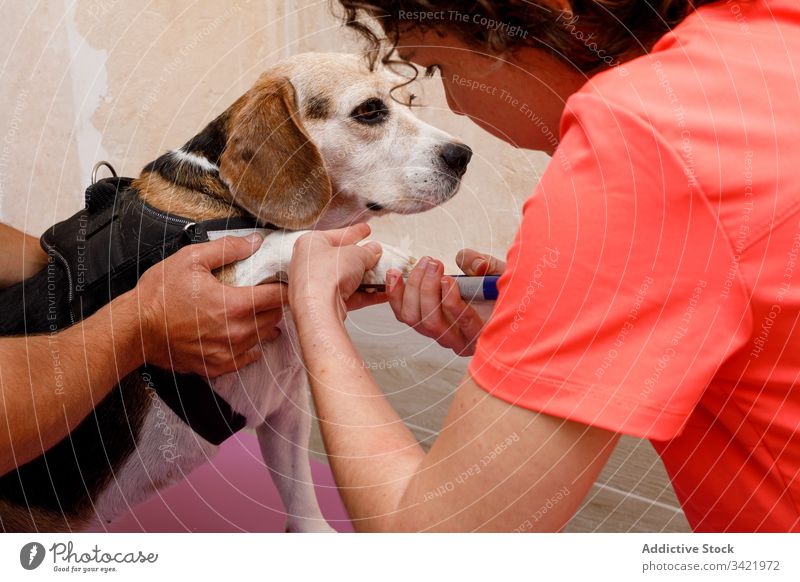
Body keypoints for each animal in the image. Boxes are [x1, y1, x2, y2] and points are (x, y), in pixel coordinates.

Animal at [0, 52, 472, 532]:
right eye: (370, 111)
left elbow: (301, 502)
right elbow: (291, 240)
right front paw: (379, 257)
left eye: (409, 101)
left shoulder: (285, 409)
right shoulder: (215, 283)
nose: (464, 155)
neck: (224, 202)